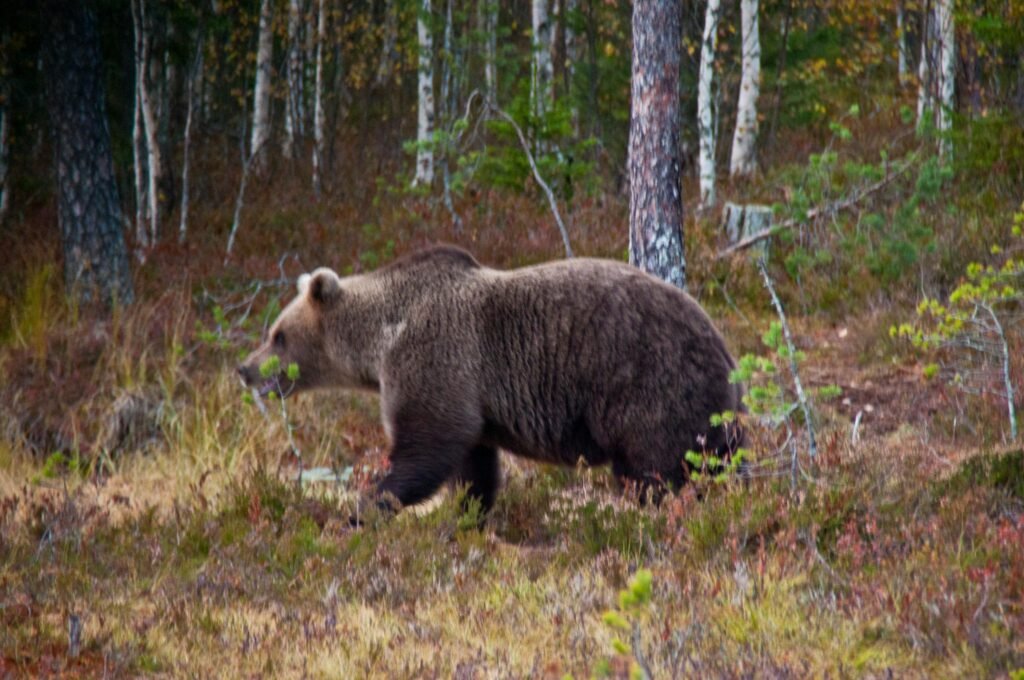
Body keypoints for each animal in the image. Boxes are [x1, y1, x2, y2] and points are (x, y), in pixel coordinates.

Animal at [238, 245, 744, 516]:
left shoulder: (434, 360)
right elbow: (473, 465)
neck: (380, 339)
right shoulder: (471, 401)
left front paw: (365, 508)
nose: (243, 369)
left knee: (656, 471)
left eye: (277, 335)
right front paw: (468, 516)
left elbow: (423, 451)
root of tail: (726, 352)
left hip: (651, 385)